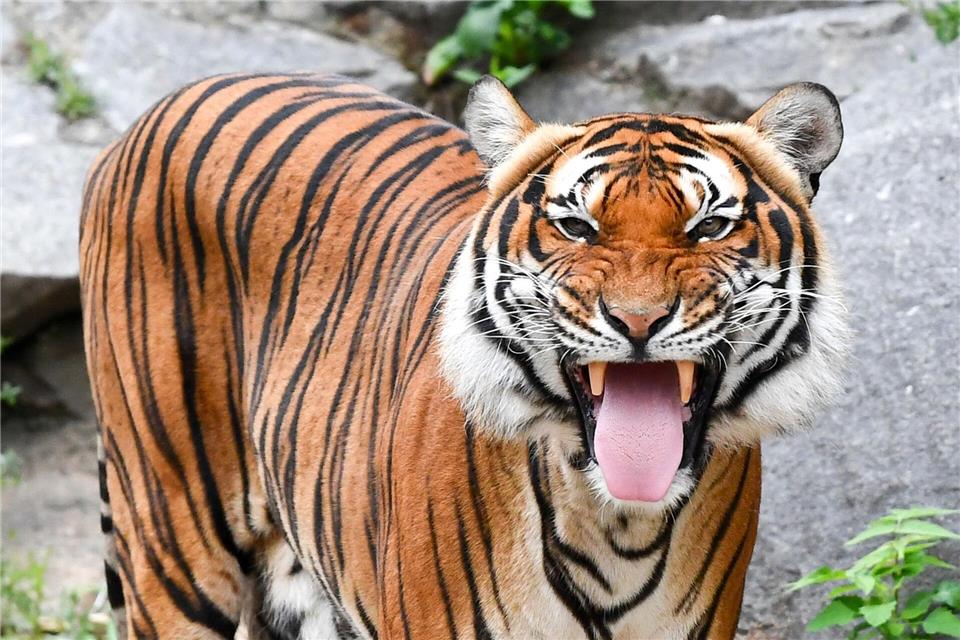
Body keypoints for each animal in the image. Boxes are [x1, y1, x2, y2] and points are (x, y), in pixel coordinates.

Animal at [79, 72, 849, 639]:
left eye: (710, 225)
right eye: (575, 226)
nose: (638, 320)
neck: (617, 526)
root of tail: (144, 121)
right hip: (171, 534)